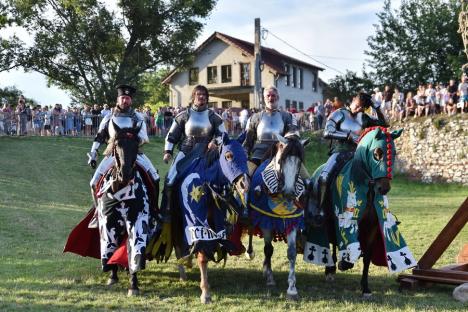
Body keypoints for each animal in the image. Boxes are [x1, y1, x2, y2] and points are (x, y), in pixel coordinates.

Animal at [64, 120, 159, 296]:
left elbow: (134, 249)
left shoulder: (136, 221)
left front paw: (133, 284)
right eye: (117, 144)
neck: (120, 189)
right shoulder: (108, 223)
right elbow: (110, 248)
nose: (125, 174)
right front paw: (113, 276)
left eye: (136, 146)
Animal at [152, 133, 250, 304]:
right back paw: (183, 271)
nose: (244, 185)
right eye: (228, 156)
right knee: (178, 244)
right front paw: (205, 293)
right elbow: (202, 253)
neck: (208, 180)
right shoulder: (195, 220)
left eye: (245, 156)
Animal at [245, 133, 308, 302]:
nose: (289, 193)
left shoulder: (292, 222)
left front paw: (292, 289)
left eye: (299, 163)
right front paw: (270, 278)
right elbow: (268, 249)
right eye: (281, 161)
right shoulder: (266, 222)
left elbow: (292, 253)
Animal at [304, 126, 416, 298]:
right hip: (327, 220)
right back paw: (331, 268)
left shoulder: (372, 227)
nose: (384, 188)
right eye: (377, 153)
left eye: (395, 153)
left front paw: (365, 287)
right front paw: (344, 263)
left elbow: (367, 257)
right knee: (331, 240)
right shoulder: (344, 220)